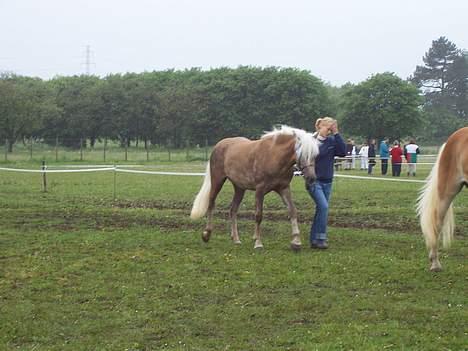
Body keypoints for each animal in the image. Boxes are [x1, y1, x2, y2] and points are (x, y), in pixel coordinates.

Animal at [189, 126, 318, 250]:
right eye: (303, 153)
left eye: (315, 155)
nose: (312, 178)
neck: (274, 156)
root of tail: (219, 145)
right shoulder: (260, 190)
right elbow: (258, 215)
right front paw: (258, 243)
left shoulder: (284, 188)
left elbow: (292, 211)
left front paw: (296, 242)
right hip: (217, 181)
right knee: (211, 203)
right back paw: (206, 234)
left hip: (239, 188)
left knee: (233, 210)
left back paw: (236, 239)